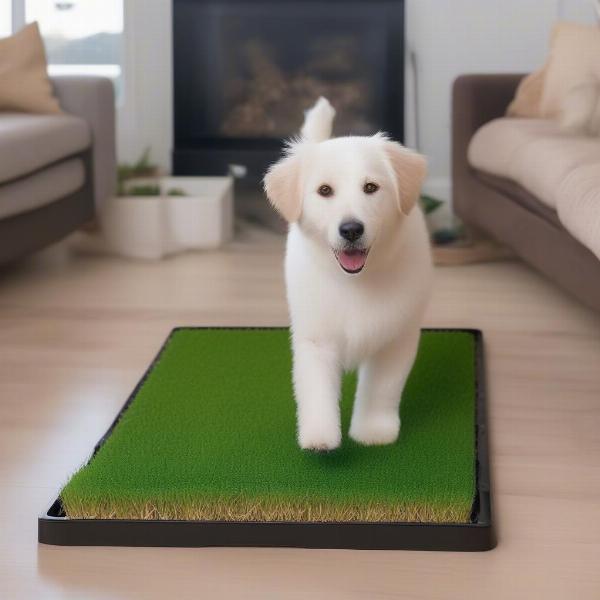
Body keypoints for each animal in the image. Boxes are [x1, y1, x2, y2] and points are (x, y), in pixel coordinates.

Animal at [262, 97, 432, 450]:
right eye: (325, 190)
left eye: (370, 187)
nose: (351, 229)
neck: (355, 282)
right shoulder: (315, 338)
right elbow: (316, 389)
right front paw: (319, 435)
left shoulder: (395, 339)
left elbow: (381, 389)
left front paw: (373, 431)